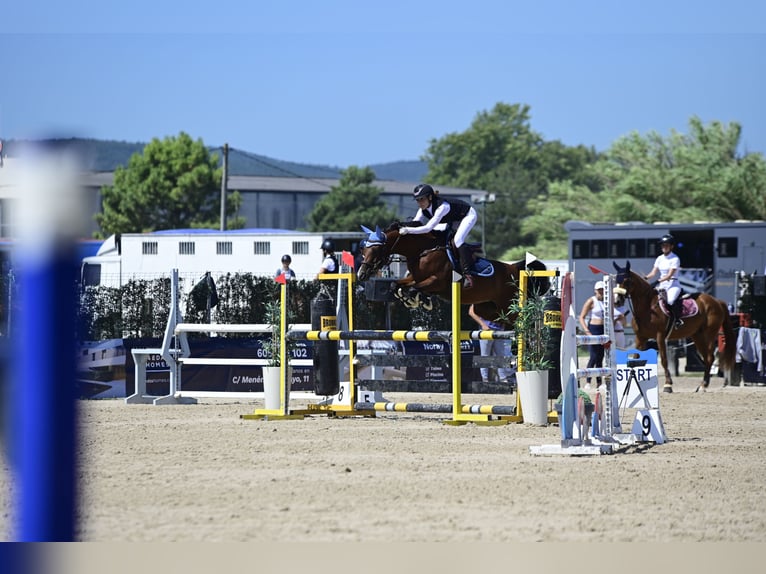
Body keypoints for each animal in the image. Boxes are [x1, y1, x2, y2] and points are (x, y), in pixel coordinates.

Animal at [356, 222, 548, 328]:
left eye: (376, 249)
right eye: (363, 249)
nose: (361, 274)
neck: (423, 251)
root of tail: (514, 269)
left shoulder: (437, 282)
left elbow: (414, 288)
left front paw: (418, 300)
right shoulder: (415, 278)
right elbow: (397, 285)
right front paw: (412, 300)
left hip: (508, 306)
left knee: (520, 321)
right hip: (487, 308)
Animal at [612, 262, 736, 394]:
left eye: (626, 280)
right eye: (616, 280)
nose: (617, 301)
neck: (648, 308)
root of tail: (717, 301)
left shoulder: (660, 336)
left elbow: (664, 360)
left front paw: (668, 385)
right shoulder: (640, 338)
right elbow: (635, 359)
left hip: (709, 335)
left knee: (710, 357)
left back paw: (704, 385)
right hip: (698, 336)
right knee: (707, 358)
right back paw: (701, 385)